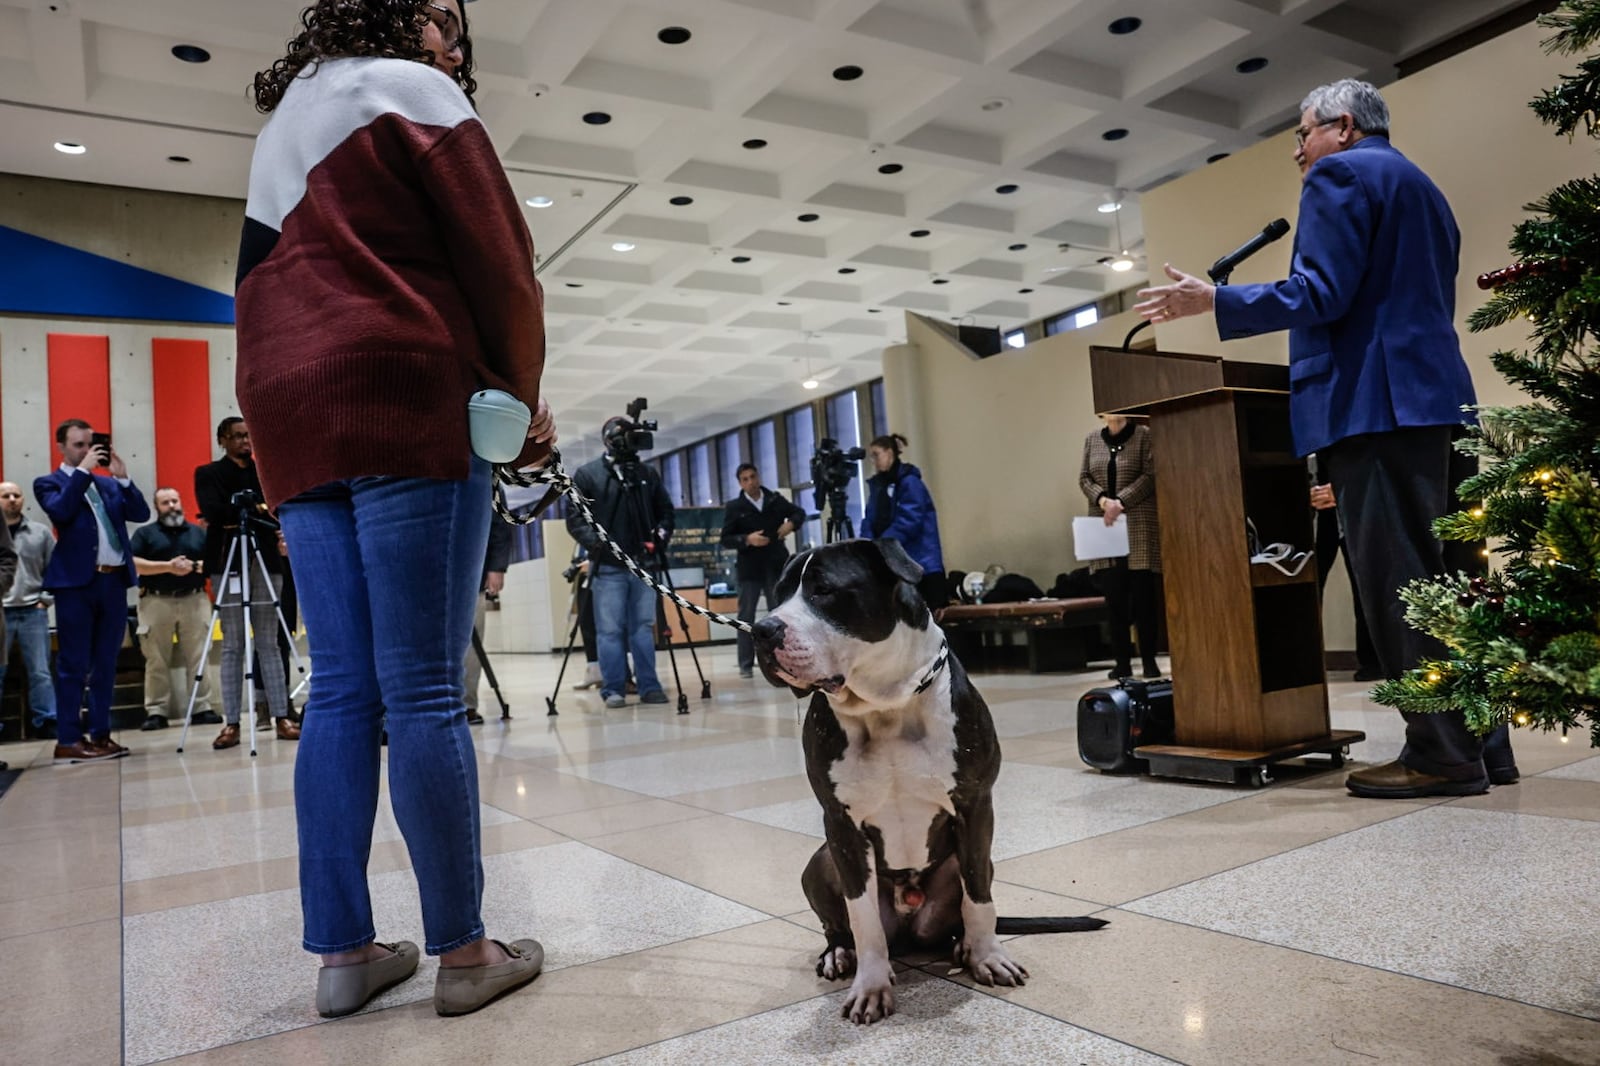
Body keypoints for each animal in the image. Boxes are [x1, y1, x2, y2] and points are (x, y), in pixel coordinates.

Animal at [748, 541, 1100, 1024]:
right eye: (778, 594)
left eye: (824, 589)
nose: (761, 630)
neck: (885, 706)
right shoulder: (840, 825)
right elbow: (862, 918)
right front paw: (871, 985)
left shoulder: (975, 806)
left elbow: (979, 900)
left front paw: (988, 955)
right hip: (821, 860)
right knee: (841, 924)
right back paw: (839, 952)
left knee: (965, 905)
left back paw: (964, 946)